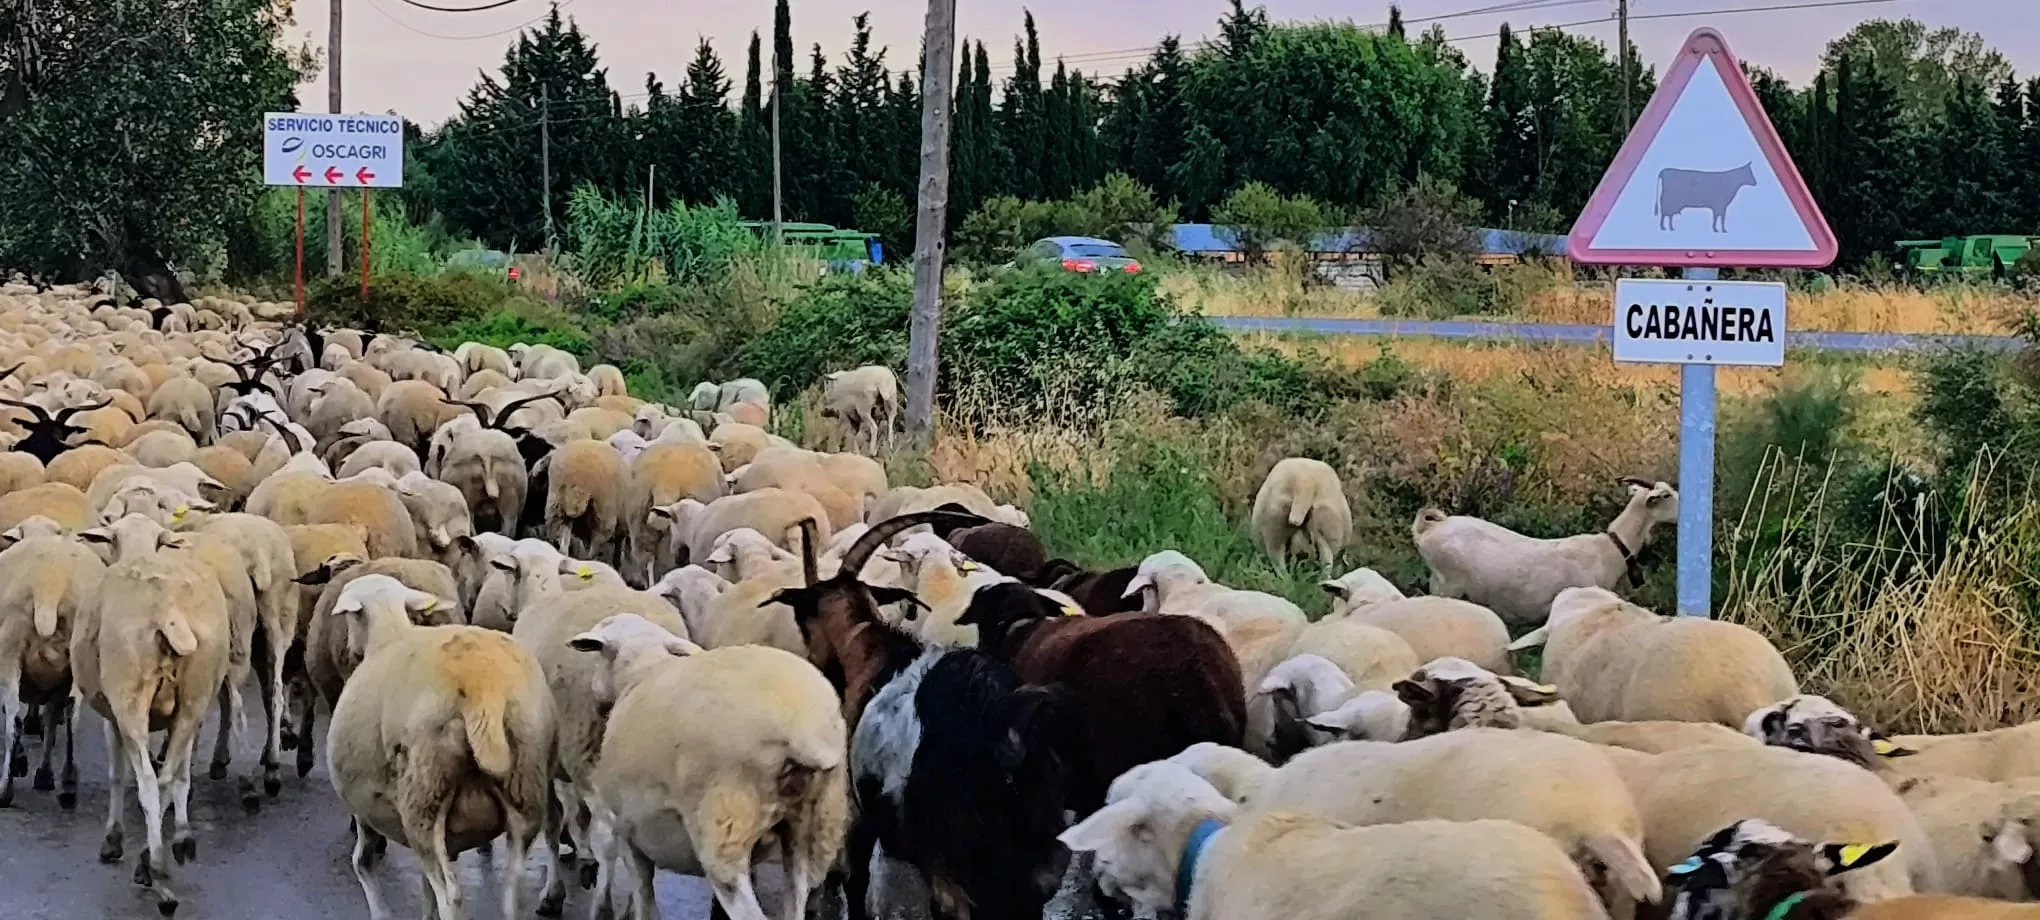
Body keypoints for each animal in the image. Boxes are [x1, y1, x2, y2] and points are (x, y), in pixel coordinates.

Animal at [0, 525, 105, 810]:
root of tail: (50, 581)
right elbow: (49, 722)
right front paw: (43, 773)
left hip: (10, 648)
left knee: (13, 719)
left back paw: (6, 787)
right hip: (78, 659)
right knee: (71, 714)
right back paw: (68, 786)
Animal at [70, 525, 231, 914]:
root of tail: (166, 608)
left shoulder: (112, 717)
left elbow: (117, 775)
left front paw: (112, 839)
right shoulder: (187, 717)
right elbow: (183, 775)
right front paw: (183, 836)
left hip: (129, 700)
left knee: (146, 780)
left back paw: (154, 867)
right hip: (195, 696)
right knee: (166, 777)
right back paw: (154, 859)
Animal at [325, 574, 561, 920]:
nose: (349, 649)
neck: (388, 633)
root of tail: (480, 686)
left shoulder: (365, 807)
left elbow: (364, 863)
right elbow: (422, 885)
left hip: (424, 797)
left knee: (450, 894)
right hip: (524, 786)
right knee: (512, 886)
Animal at [571, 613, 846, 920]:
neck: (643, 669)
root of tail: (801, 731)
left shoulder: (629, 834)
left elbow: (644, 899)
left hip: (724, 833)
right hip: (815, 824)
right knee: (798, 895)